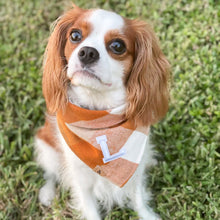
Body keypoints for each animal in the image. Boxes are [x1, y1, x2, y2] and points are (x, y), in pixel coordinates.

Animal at [35, 4, 170, 219]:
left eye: (117, 46)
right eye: (75, 35)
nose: (87, 52)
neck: (99, 114)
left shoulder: (136, 167)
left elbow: (138, 196)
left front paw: (147, 215)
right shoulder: (81, 179)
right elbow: (90, 209)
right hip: (45, 147)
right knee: (50, 173)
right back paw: (47, 193)